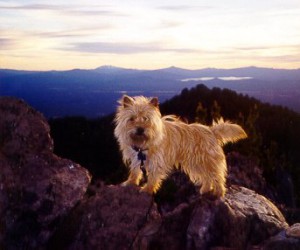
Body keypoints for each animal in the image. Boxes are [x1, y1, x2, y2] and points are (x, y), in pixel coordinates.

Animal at [113, 95, 247, 197]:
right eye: (132, 119)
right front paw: (130, 182)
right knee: (207, 177)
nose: (140, 129)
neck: (142, 144)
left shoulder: (157, 161)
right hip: (197, 163)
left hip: (208, 162)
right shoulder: (136, 158)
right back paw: (205, 189)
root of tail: (211, 131)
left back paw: (219, 192)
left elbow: (153, 176)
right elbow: (135, 171)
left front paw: (148, 189)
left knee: (217, 176)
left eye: (146, 119)